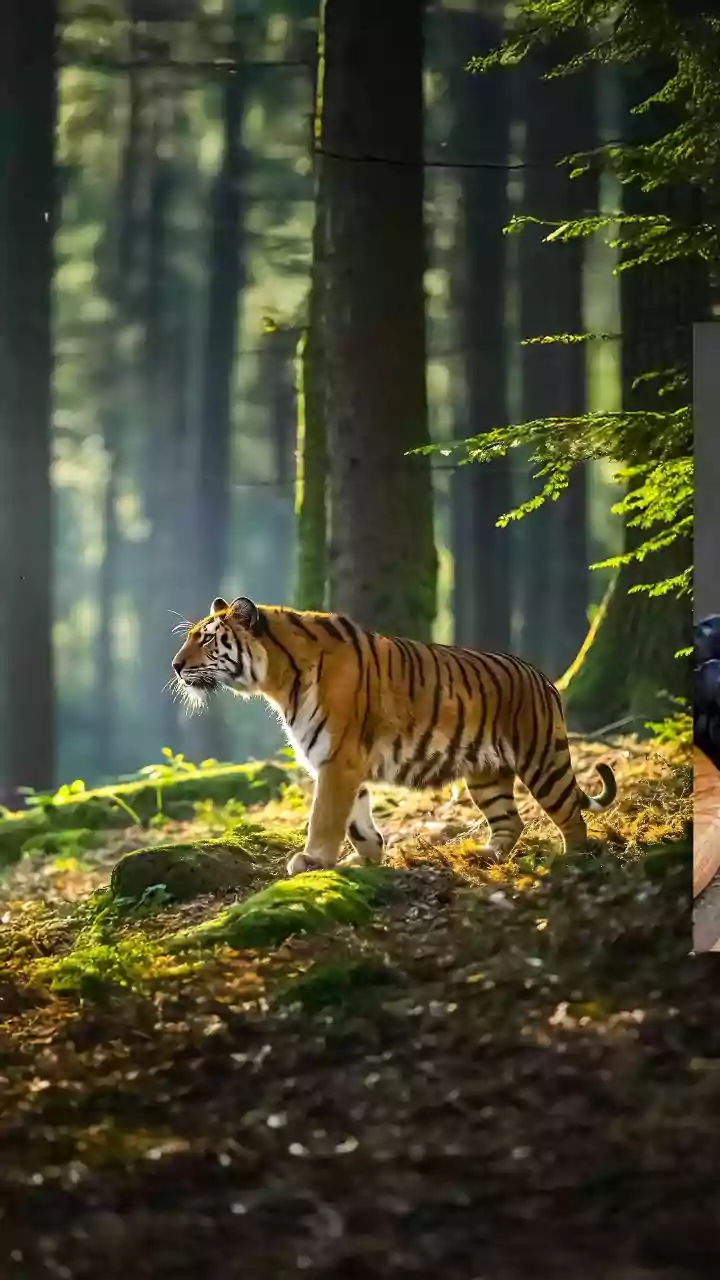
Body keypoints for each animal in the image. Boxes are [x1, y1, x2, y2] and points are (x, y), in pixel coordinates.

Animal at [171, 596, 617, 877]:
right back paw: (486, 854)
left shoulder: (338, 759)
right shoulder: (338, 762)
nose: (175, 665)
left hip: (541, 759)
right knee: (512, 820)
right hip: (486, 773)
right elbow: (356, 819)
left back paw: (573, 859)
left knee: (572, 817)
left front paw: (313, 860)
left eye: (207, 639)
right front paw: (366, 857)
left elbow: (325, 816)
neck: (277, 680)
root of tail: (544, 677)